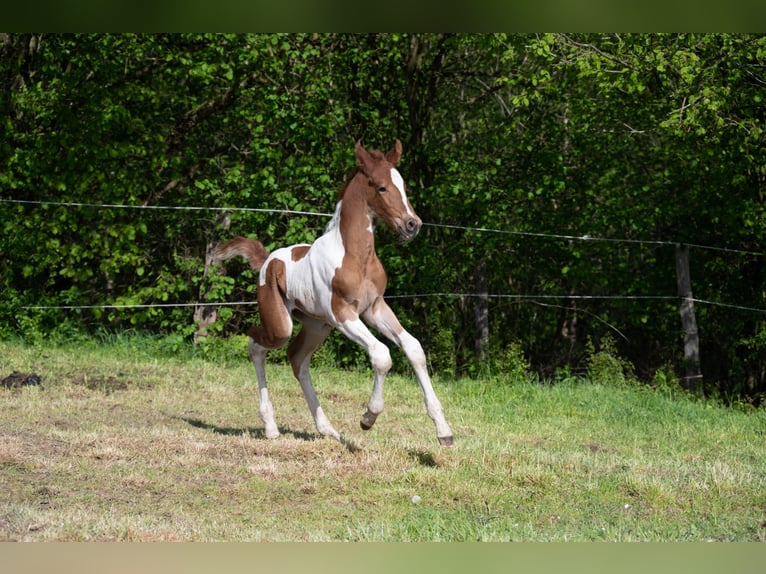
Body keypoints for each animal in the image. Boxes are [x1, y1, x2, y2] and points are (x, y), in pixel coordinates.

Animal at [212, 140, 454, 447]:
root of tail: (268, 260)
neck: (355, 256)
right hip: (282, 325)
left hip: (317, 326)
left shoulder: (374, 308)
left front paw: (444, 430)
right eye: (381, 187)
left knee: (297, 359)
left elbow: (413, 349)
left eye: (404, 186)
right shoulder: (342, 313)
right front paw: (368, 417)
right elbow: (382, 355)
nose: (412, 225)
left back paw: (327, 429)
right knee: (256, 345)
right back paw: (271, 427)